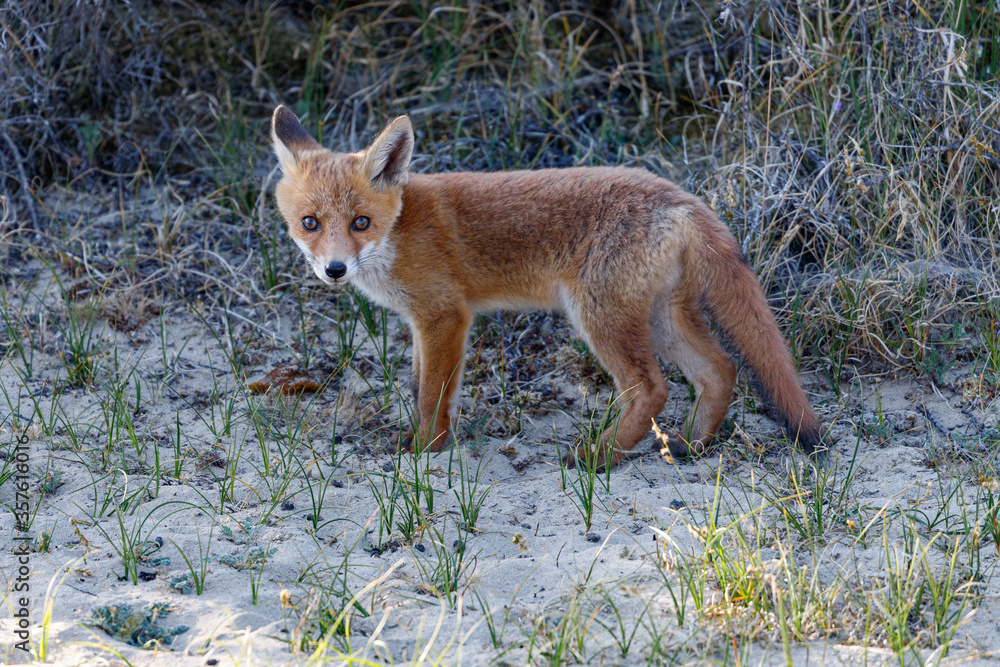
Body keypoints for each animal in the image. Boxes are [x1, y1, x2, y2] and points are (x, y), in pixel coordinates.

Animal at [270, 105, 824, 470]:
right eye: (310, 223)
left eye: (360, 222)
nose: (335, 270)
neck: (400, 232)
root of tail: (681, 196)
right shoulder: (423, 323)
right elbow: (422, 387)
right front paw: (420, 443)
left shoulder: (445, 315)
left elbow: (432, 396)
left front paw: (425, 453)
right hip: (662, 318)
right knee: (720, 368)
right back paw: (692, 445)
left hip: (598, 317)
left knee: (652, 388)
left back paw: (599, 458)